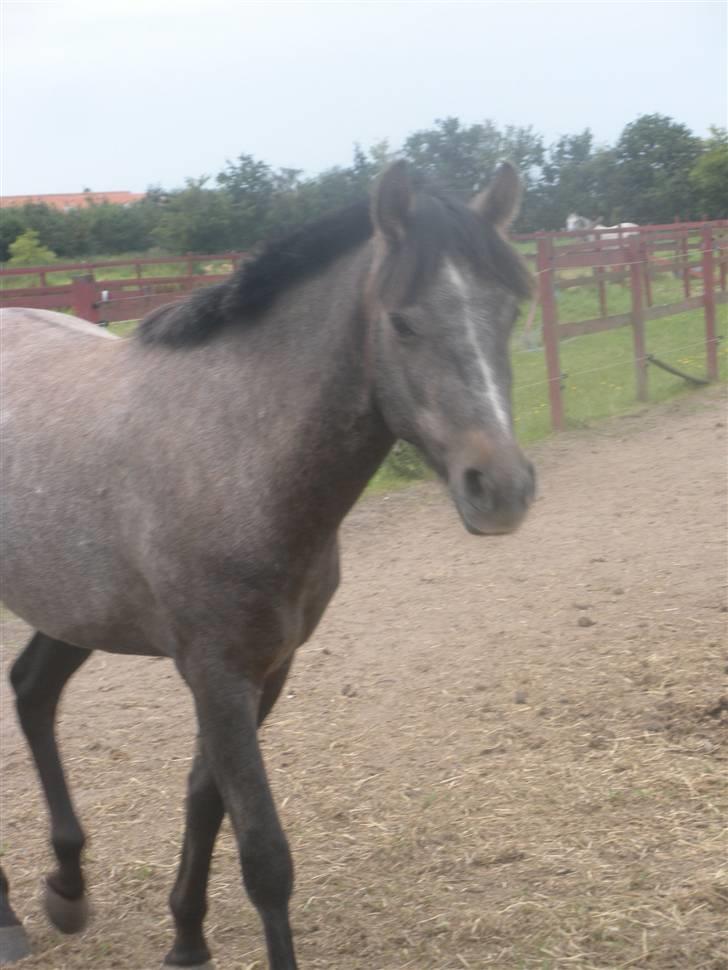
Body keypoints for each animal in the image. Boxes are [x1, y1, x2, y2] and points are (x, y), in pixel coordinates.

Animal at [0, 161, 536, 970]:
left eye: (509, 313)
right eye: (403, 322)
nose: (501, 488)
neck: (237, 452)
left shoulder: (266, 667)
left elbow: (205, 799)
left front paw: (187, 939)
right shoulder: (217, 673)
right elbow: (264, 855)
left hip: (71, 605)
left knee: (32, 690)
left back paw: (66, 888)